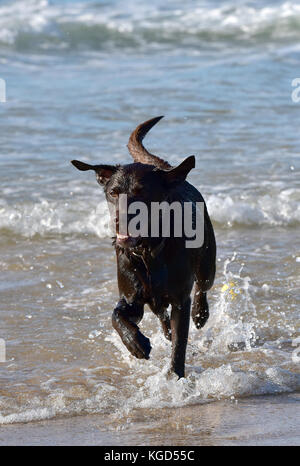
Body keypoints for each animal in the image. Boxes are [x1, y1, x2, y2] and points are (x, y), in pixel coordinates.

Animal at [71, 116, 214, 378]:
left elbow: (180, 342)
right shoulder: (131, 296)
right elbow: (117, 315)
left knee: (202, 286)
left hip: (208, 261)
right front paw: (136, 344)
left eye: (142, 192)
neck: (148, 251)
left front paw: (175, 376)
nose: (120, 219)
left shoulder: (180, 299)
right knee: (161, 314)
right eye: (113, 192)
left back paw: (200, 314)